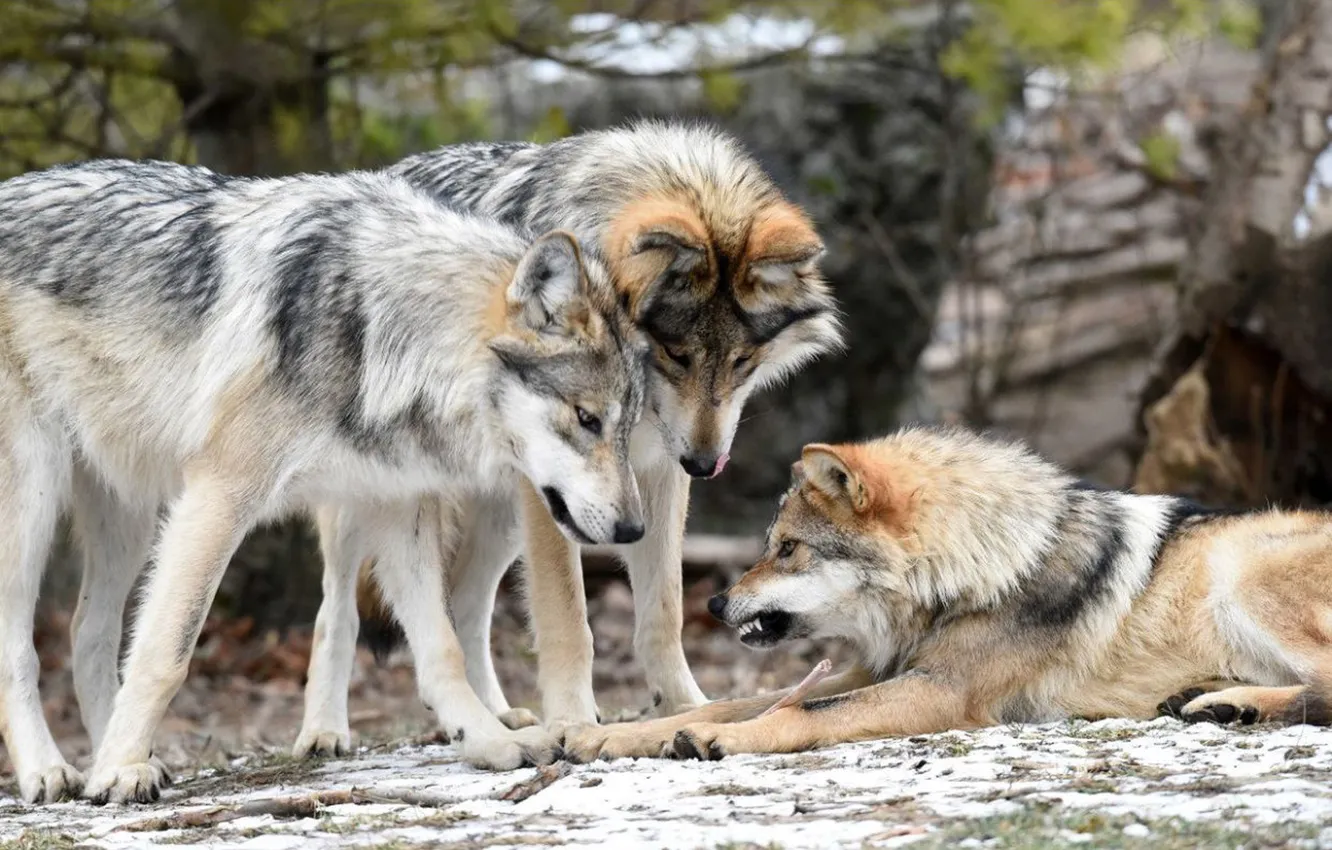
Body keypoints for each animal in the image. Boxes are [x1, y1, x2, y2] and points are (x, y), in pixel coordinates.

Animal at [0, 159, 648, 803]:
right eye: (587, 418)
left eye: (627, 427)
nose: (634, 529)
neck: (378, 326)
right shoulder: (219, 495)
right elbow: (168, 650)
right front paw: (117, 771)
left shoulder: (398, 506)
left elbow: (441, 647)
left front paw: (489, 741)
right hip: (33, 505)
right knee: (23, 647)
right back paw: (51, 771)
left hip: (128, 516)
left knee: (87, 633)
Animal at [294, 121, 843, 755]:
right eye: (676, 354)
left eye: (742, 362)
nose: (705, 465)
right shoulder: (559, 495)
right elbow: (566, 619)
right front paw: (576, 720)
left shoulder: (654, 477)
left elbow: (664, 612)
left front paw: (687, 710)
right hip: (377, 503)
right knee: (335, 611)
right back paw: (324, 730)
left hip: (501, 519)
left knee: (464, 602)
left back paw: (497, 716)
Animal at [563, 427, 1332, 762]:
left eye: (787, 549)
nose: (717, 606)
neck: (973, 571)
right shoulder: (879, 670)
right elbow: (731, 699)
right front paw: (607, 736)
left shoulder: (939, 690)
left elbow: (801, 712)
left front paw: (717, 738)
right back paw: (1215, 702)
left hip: (1242, 574)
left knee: (1322, 690)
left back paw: (1229, 705)